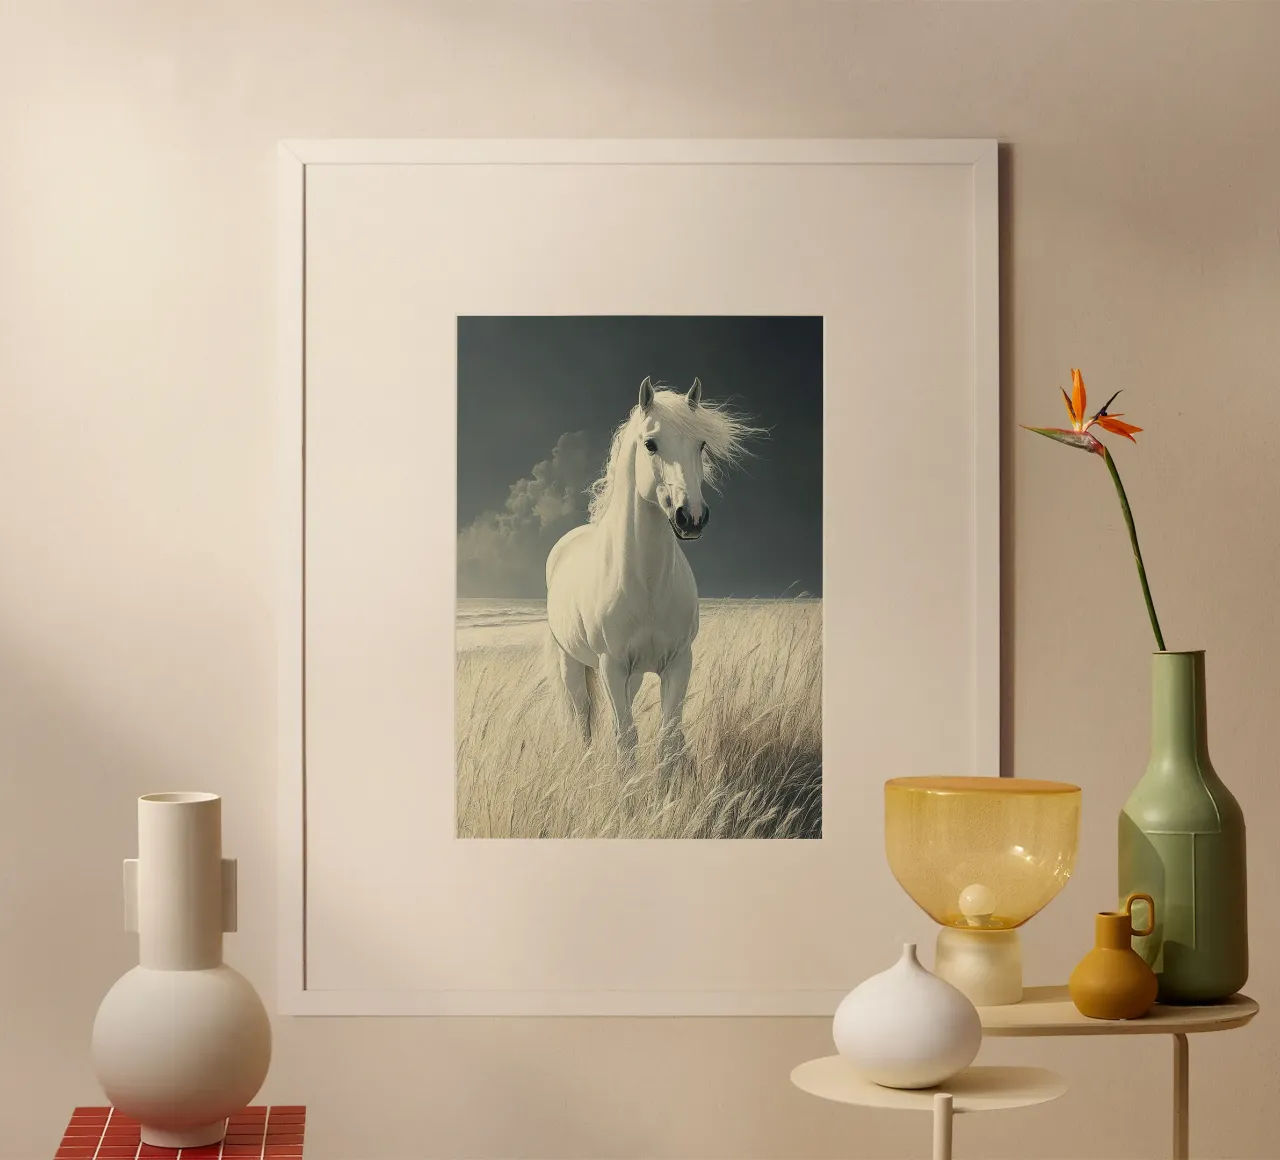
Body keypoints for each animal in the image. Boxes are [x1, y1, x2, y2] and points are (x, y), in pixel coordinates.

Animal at [545, 376, 756, 766]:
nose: (692, 517)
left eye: (701, 444)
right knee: (582, 719)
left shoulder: (678, 664)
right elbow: (626, 741)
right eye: (650, 444)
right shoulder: (611, 667)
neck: (646, 584)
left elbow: (667, 741)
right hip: (573, 664)